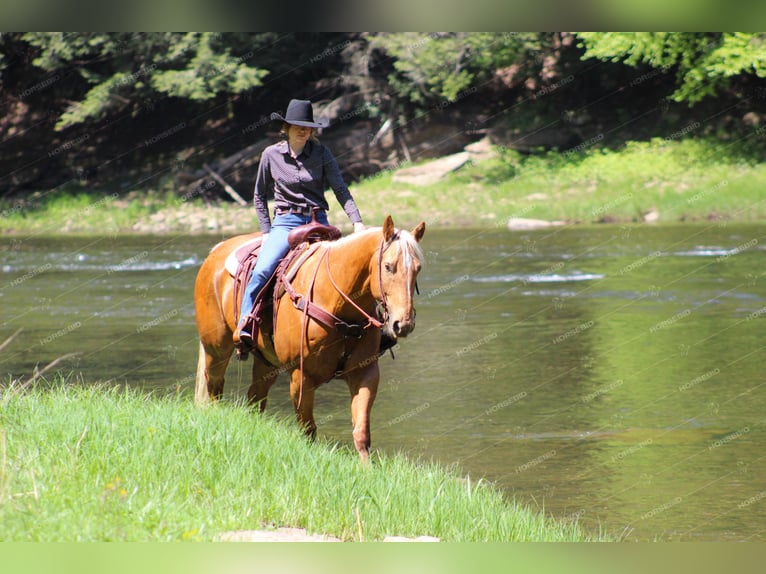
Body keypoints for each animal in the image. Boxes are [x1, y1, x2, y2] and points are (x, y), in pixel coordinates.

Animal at [194, 216, 426, 464]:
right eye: (388, 266)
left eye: (418, 268)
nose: (403, 324)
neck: (338, 303)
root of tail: (216, 251)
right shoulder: (301, 376)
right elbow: (308, 429)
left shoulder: (365, 372)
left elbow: (361, 431)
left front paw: (367, 468)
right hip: (216, 348)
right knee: (215, 384)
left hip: (266, 363)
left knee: (256, 396)